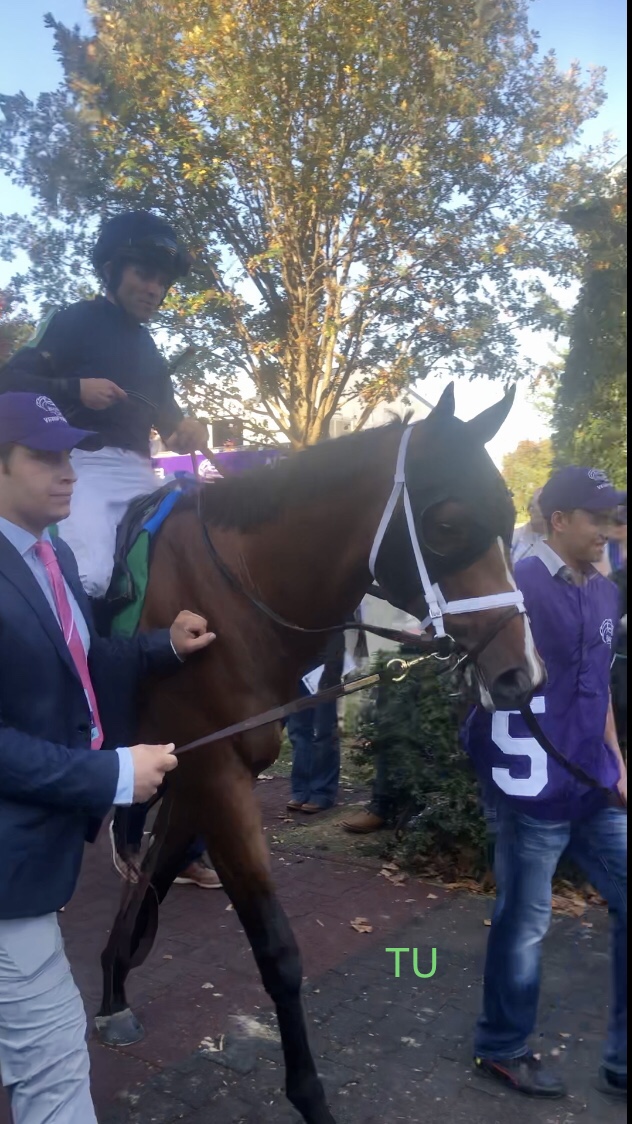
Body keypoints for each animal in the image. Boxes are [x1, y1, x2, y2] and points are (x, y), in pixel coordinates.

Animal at [93, 379, 542, 1124]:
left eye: (510, 517)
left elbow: (152, 881)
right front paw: (309, 1095)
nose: (520, 675)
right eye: (447, 523)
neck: (229, 595)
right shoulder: (217, 778)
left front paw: (112, 990)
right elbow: (276, 948)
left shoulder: (194, 772)